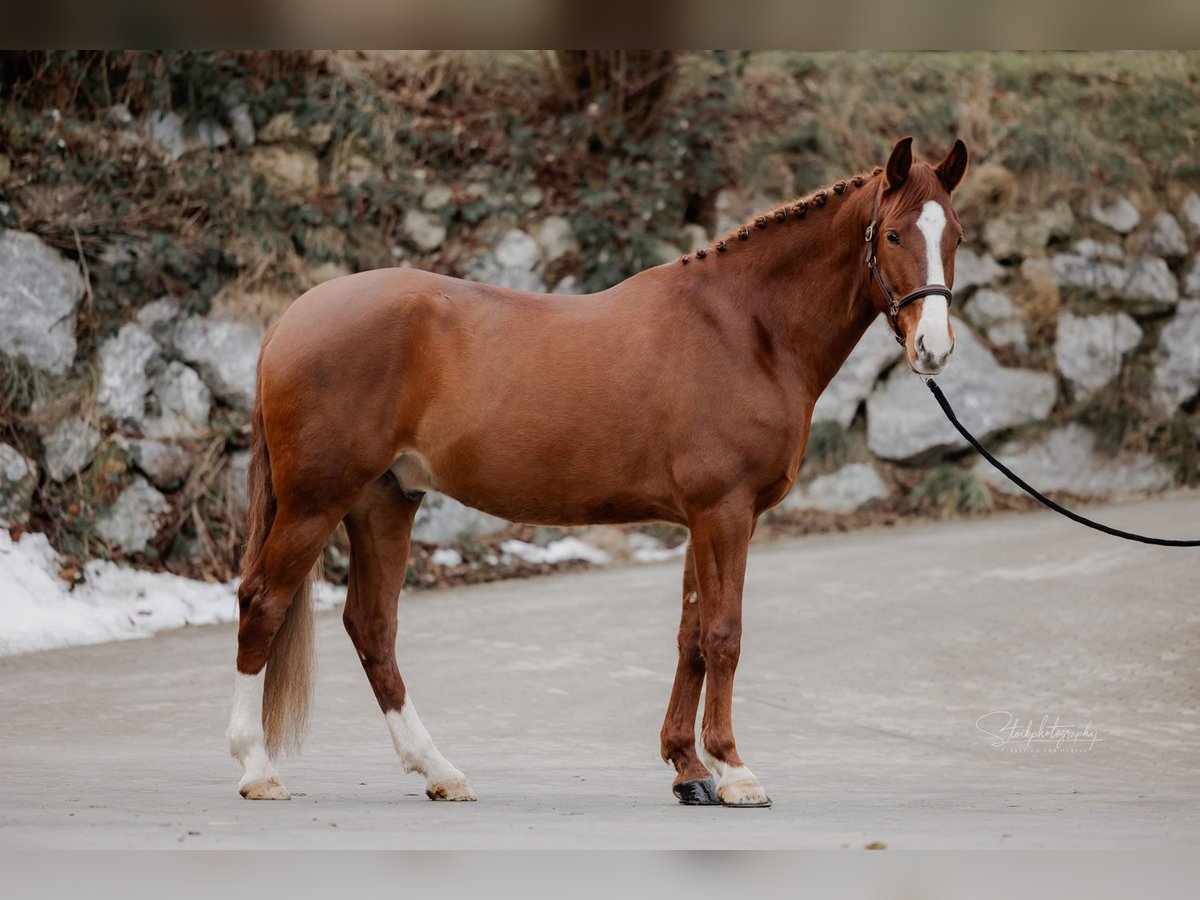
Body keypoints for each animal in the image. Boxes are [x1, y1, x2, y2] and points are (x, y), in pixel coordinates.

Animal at [229, 135, 969, 811]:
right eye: (894, 233)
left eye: (956, 236)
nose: (932, 349)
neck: (746, 328)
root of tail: (291, 318)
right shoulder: (724, 512)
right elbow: (724, 636)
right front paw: (734, 771)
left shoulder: (705, 518)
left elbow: (692, 638)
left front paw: (688, 769)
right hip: (317, 502)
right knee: (262, 602)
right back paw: (258, 769)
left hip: (384, 499)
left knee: (372, 627)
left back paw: (439, 770)